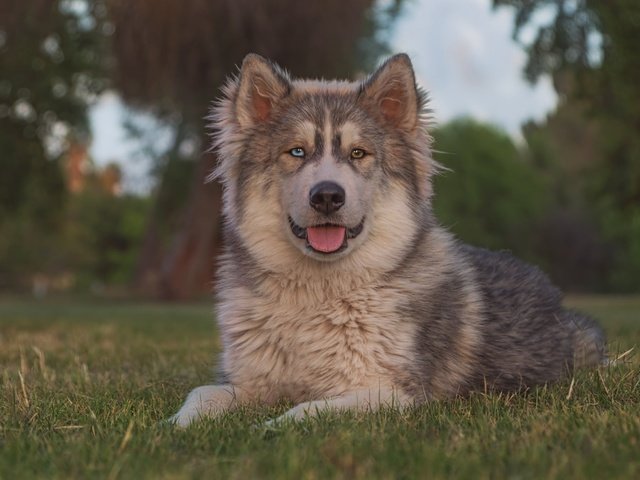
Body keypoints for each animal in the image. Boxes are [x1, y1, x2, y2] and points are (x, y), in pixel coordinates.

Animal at [169, 53, 604, 428]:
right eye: (296, 152)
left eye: (358, 153)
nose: (327, 196)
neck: (318, 295)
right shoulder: (247, 380)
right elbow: (202, 394)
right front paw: (176, 426)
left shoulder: (393, 393)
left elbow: (307, 410)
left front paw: (269, 427)